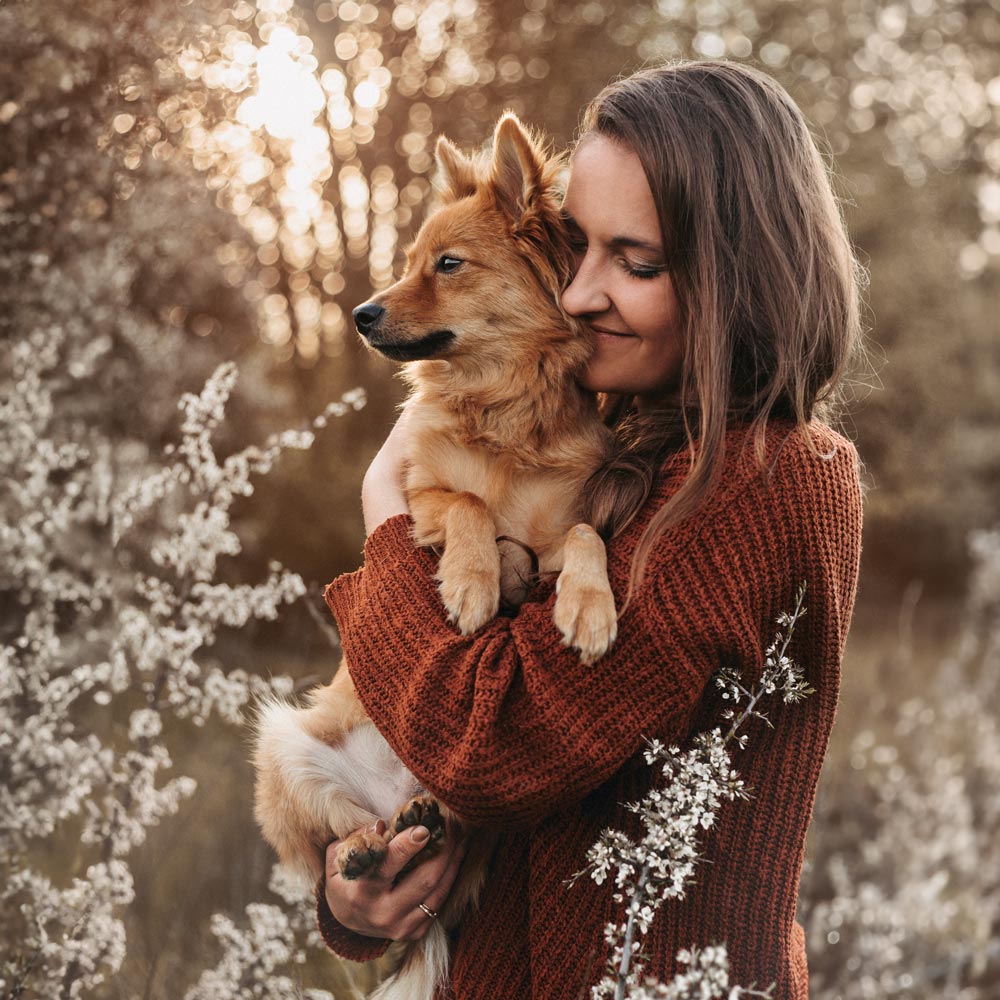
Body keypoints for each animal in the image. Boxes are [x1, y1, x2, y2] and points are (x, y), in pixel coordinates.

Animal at [254, 113, 616, 996]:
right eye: (414, 260)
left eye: (447, 265)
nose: (360, 312)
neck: (506, 406)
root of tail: (402, 791)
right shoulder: (414, 495)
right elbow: (469, 505)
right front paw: (474, 581)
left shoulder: (568, 521)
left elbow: (582, 535)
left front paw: (588, 608)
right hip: (282, 748)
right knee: (337, 834)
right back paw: (369, 843)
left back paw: (419, 819)